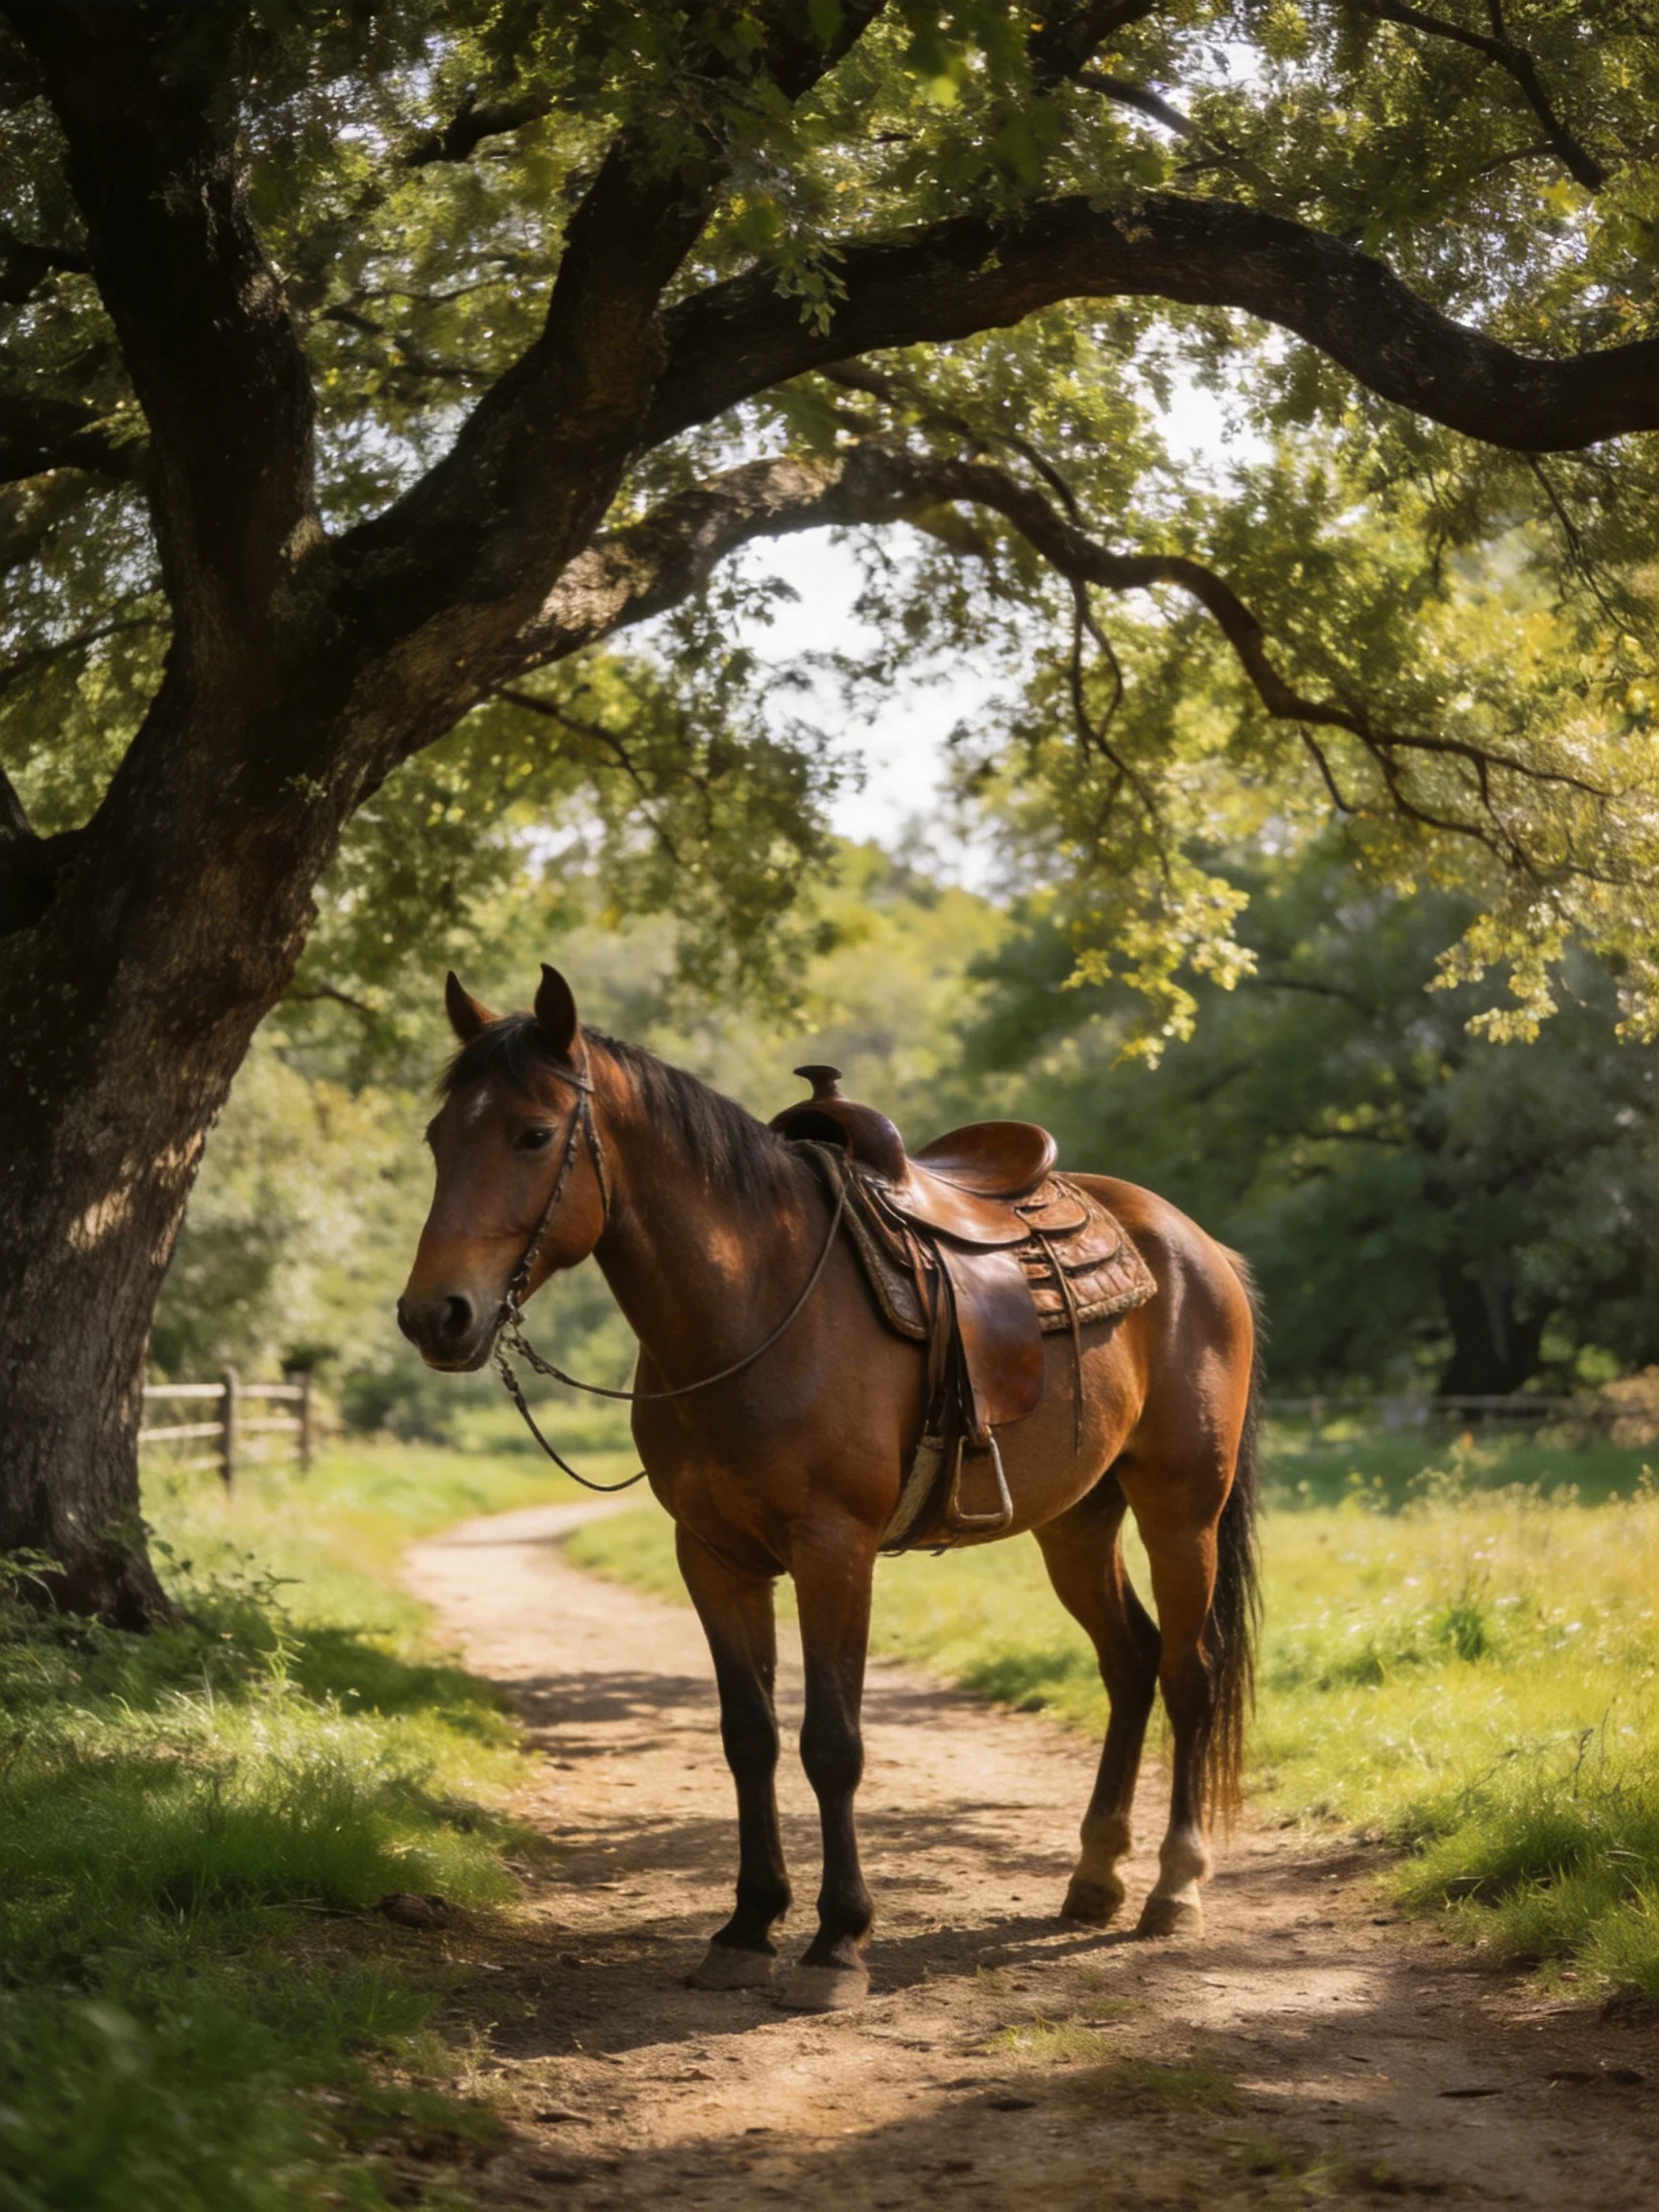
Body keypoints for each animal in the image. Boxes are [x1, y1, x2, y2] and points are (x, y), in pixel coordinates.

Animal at [399, 964, 1262, 2013]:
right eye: (439, 1137)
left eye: (530, 1134)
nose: (435, 1315)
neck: (755, 1304)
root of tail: (1199, 1248)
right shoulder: (714, 1558)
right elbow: (749, 1736)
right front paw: (746, 1927)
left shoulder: (834, 1551)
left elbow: (832, 1743)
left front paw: (837, 1943)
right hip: (1076, 1523)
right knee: (1130, 1662)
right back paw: (1095, 1876)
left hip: (1182, 1508)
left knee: (1187, 1671)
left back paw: (1176, 1886)